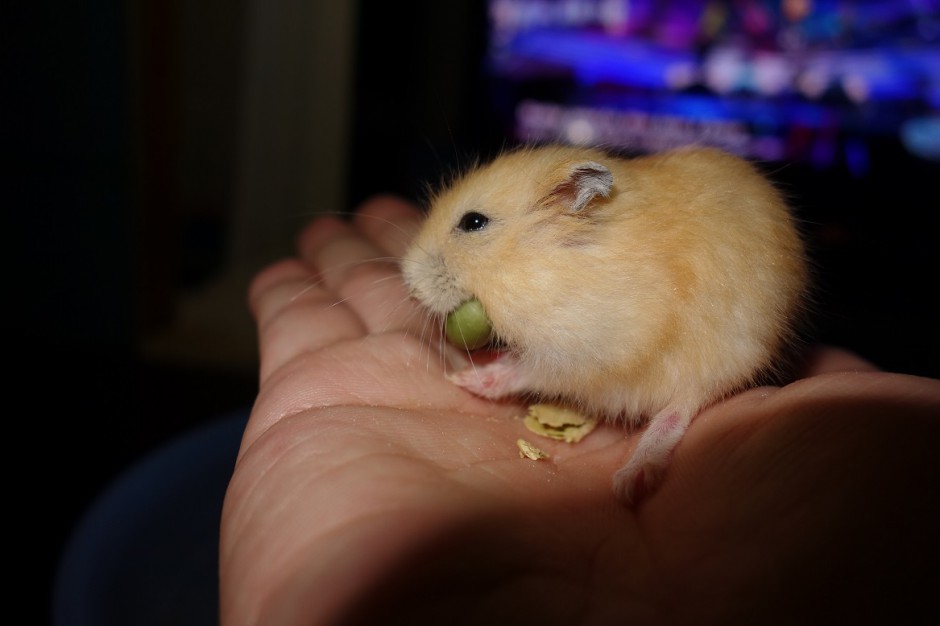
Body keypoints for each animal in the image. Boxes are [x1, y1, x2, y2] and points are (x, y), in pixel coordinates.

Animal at [400, 143, 804, 502]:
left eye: (473, 222)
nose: (409, 283)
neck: (536, 262)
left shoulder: (584, 349)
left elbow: (525, 369)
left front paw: (467, 379)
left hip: (720, 361)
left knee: (677, 412)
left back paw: (631, 482)